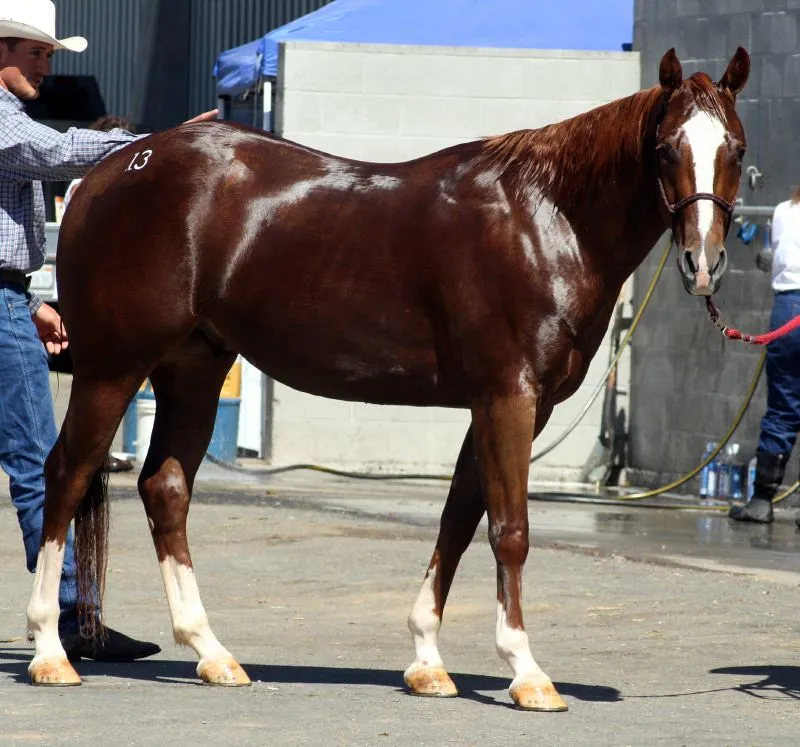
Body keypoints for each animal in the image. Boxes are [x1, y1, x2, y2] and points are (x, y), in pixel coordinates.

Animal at [26, 47, 749, 710]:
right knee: (66, 474)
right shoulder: (508, 396)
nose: (703, 261)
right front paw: (526, 671)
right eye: (664, 149)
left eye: (736, 149)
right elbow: (508, 528)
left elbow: (458, 519)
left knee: (166, 489)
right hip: (113, 367)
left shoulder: (503, 404)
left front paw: (427, 660)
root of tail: (106, 174)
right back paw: (50, 652)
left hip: (194, 368)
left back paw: (211, 652)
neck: (544, 218)